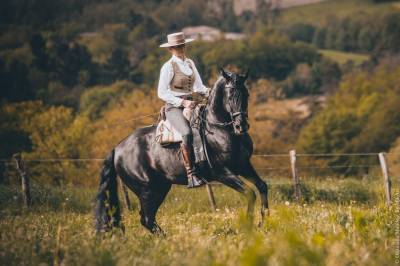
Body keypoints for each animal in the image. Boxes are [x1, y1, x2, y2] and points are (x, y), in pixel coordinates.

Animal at [95, 68, 268, 235]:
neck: (220, 128)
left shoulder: (243, 165)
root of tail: (118, 148)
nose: (241, 126)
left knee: (148, 219)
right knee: (146, 219)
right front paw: (248, 226)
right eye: (230, 95)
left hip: (161, 187)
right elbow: (250, 193)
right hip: (147, 190)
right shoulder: (222, 173)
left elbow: (262, 186)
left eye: (246, 94)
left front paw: (263, 222)